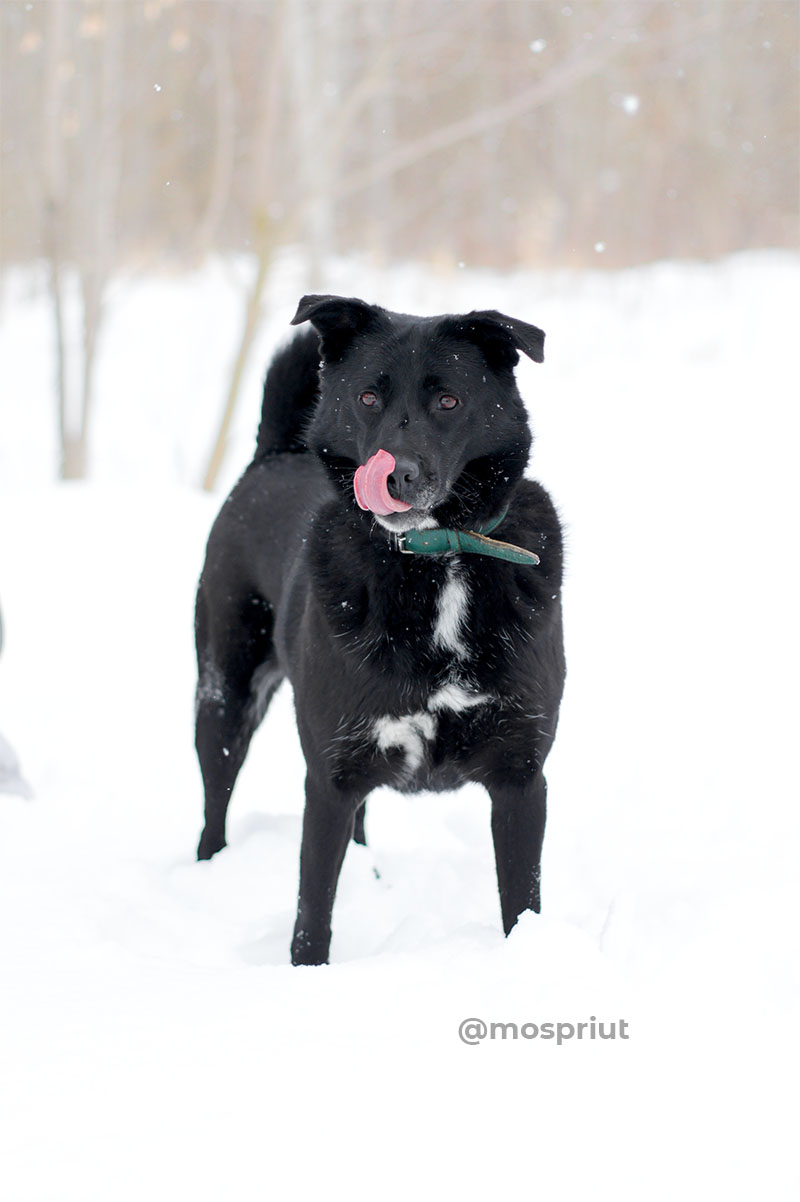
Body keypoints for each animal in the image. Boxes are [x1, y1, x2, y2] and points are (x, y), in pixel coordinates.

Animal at [195, 300, 564, 966]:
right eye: (368, 397)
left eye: (448, 401)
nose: (396, 476)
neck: (436, 558)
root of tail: (272, 455)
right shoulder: (329, 777)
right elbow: (312, 912)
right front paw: (307, 973)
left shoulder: (522, 778)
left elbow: (522, 903)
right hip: (224, 697)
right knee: (216, 804)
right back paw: (208, 872)